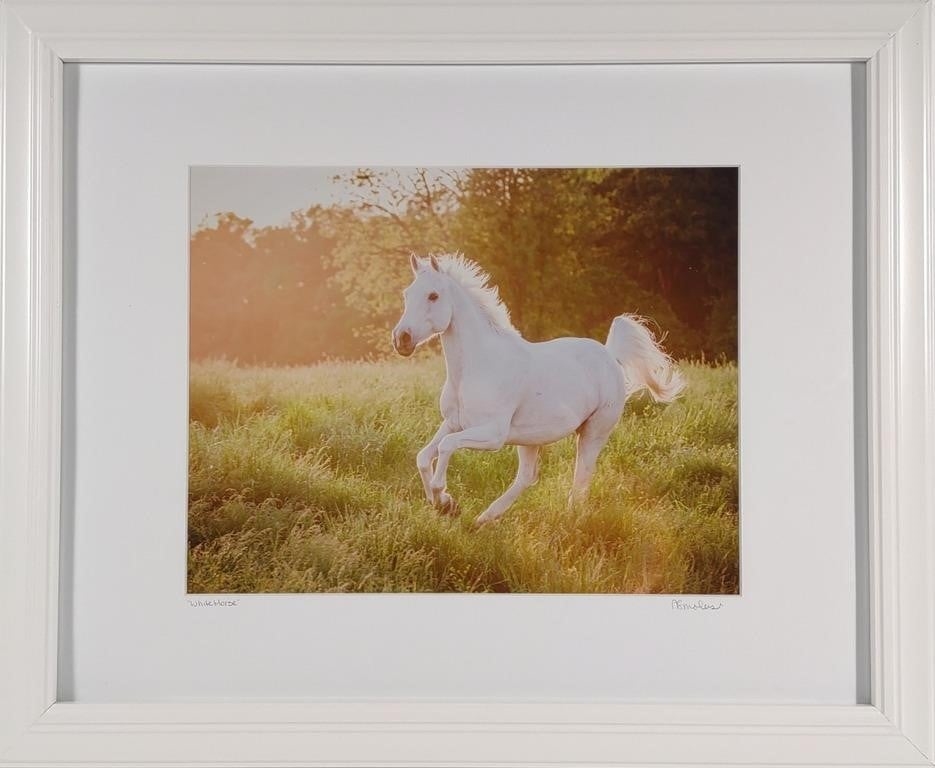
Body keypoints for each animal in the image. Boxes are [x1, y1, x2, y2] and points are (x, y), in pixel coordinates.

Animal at [392, 253, 685, 526]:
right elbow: (424, 456)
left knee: (580, 480)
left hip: (593, 432)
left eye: (433, 295)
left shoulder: (492, 434)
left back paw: (569, 521)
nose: (401, 339)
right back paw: (483, 519)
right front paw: (444, 504)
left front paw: (444, 500)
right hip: (530, 439)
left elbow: (446, 447)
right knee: (527, 477)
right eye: (406, 294)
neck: (475, 367)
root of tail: (610, 355)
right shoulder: (454, 423)